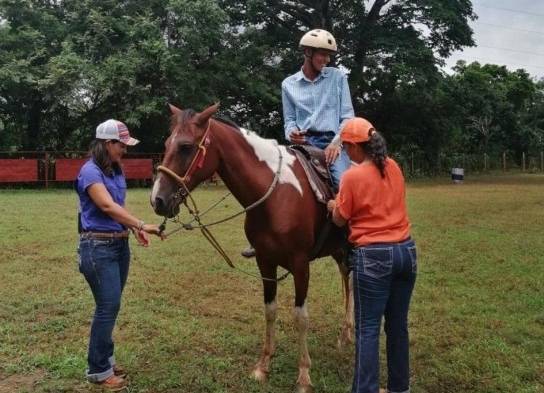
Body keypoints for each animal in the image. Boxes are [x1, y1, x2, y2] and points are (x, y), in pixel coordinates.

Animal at [150, 102, 352, 390]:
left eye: (186, 146)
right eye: (167, 144)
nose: (157, 200)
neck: (276, 194)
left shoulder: (301, 264)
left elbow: (301, 317)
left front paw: (304, 375)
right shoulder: (264, 261)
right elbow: (270, 310)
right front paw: (263, 365)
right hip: (338, 250)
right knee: (347, 279)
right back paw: (346, 335)